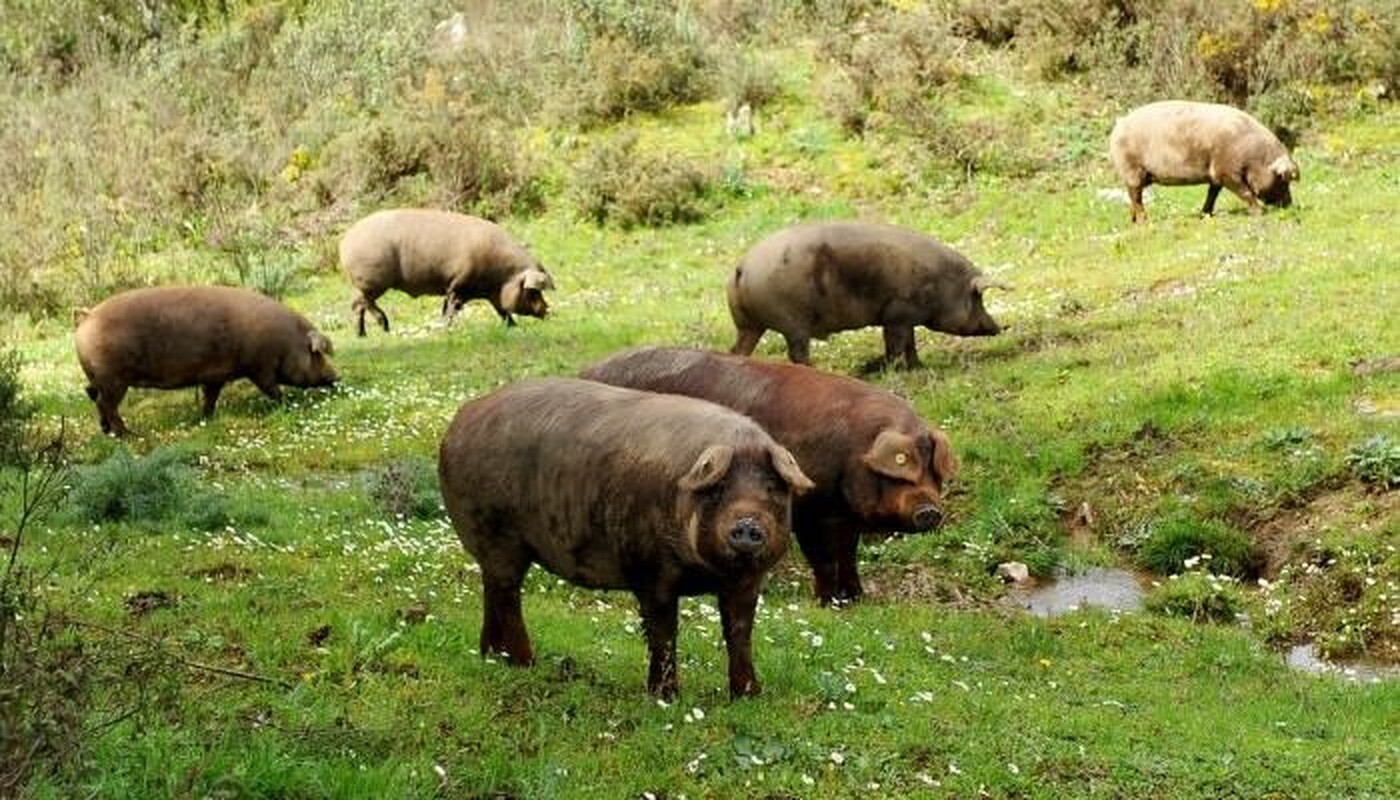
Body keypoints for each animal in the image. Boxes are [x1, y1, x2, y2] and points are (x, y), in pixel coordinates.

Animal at [73, 285, 338, 437]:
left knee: (92, 395)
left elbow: (211, 396)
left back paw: (107, 431)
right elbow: (272, 389)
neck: (286, 342)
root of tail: (89, 316)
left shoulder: (215, 375)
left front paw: (206, 418)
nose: (337, 376)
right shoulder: (259, 367)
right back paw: (128, 435)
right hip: (114, 379)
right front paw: (287, 404)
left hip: (98, 378)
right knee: (106, 403)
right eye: (316, 353)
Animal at [337, 208, 551, 336]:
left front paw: (513, 327)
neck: (503, 276)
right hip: (370, 282)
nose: (547, 310)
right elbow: (451, 309)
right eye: (533, 292)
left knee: (359, 305)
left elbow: (502, 311)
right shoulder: (459, 285)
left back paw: (367, 334)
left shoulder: (489, 294)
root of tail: (345, 241)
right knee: (360, 304)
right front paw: (447, 329)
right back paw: (380, 329)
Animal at [434, 378, 812, 697]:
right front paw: (665, 697)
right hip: (499, 536)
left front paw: (749, 695)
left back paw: (491, 656)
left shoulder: (748, 580)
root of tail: (462, 417)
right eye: (718, 489)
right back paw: (526, 663)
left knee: (493, 592)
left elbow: (739, 630)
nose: (747, 524)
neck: (708, 572)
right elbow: (663, 633)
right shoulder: (650, 570)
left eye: (772, 488)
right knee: (508, 595)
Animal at [582, 347, 963, 605]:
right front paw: (828, 603)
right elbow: (824, 558)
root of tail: (585, 371)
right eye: (902, 471)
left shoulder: (845, 517)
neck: (853, 453)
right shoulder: (812, 510)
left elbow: (848, 555)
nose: (930, 511)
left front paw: (857, 598)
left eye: (934, 473)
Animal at [722, 218, 1008, 369]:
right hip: (793, 324)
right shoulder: (897, 314)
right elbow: (896, 345)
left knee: (738, 349)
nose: (998, 328)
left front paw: (918, 366)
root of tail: (742, 267)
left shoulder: (906, 318)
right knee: (797, 354)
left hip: (748, 324)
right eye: (977, 298)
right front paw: (895, 369)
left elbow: (910, 344)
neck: (943, 284)